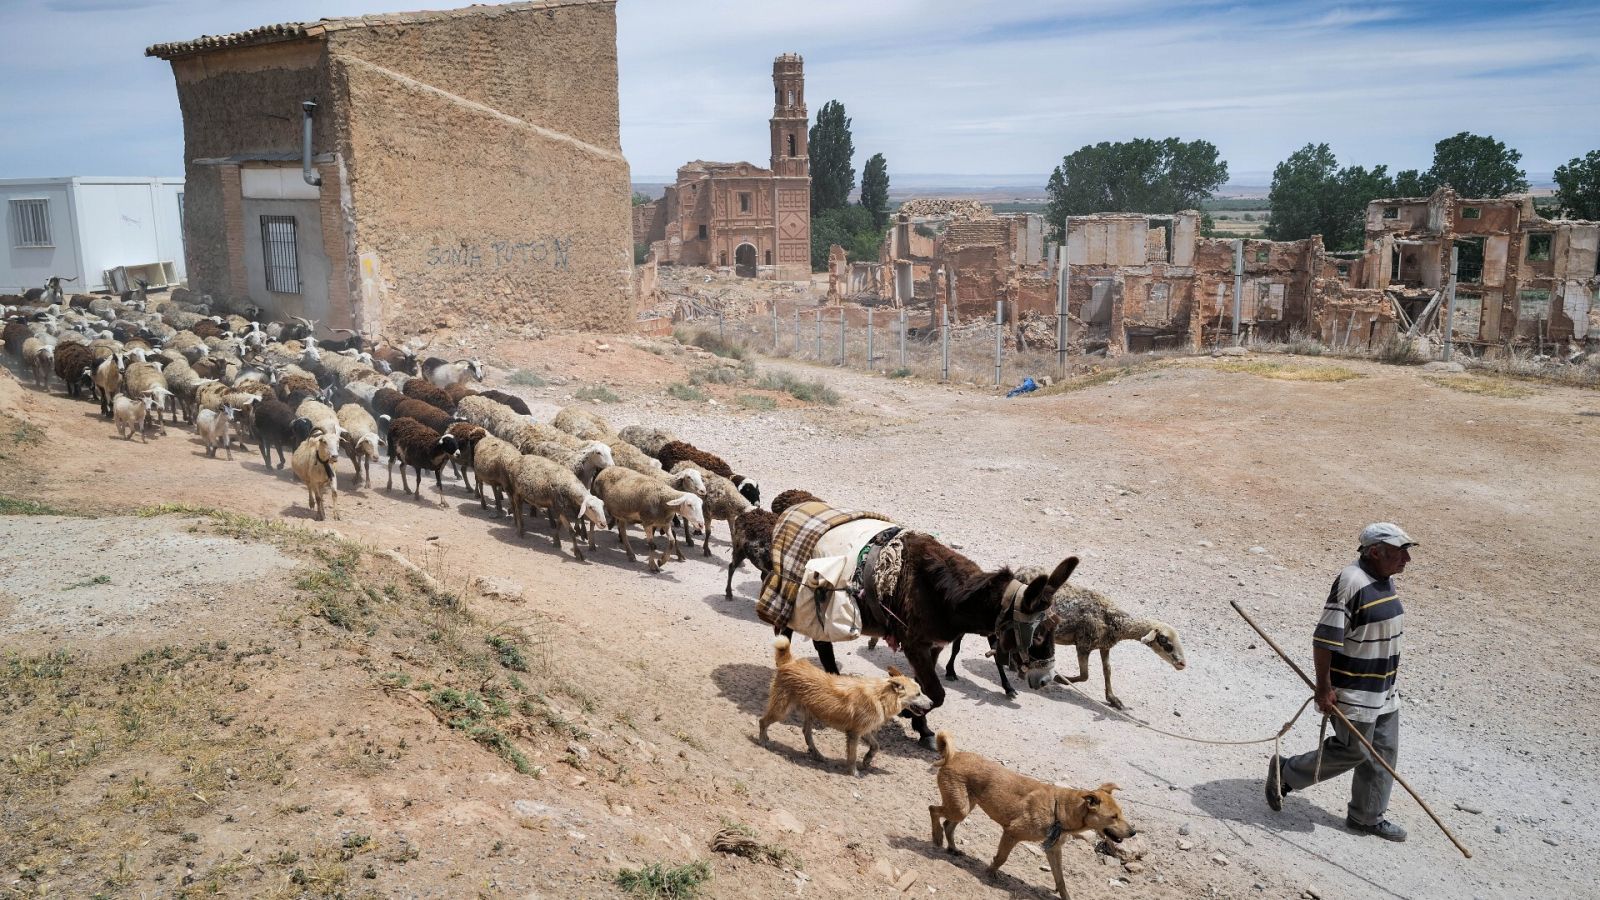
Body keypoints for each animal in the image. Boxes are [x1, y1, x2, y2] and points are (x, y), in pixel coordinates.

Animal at [755, 634, 934, 775]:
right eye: (918, 694)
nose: (932, 702)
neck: (881, 696)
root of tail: (789, 662)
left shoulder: (864, 730)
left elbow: (876, 745)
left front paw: (867, 759)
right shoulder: (854, 733)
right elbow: (852, 755)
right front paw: (853, 772)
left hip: (809, 713)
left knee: (806, 734)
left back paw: (817, 754)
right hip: (781, 710)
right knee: (763, 721)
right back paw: (763, 740)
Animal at [928, 730, 1139, 896]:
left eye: (1121, 813)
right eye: (1114, 817)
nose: (1133, 832)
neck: (1059, 810)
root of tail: (954, 755)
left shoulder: (1054, 850)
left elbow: (1060, 879)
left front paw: (1065, 896)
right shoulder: (1011, 833)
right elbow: (1001, 858)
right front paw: (990, 873)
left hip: (963, 808)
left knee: (948, 824)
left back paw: (952, 847)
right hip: (960, 808)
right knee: (933, 810)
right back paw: (937, 837)